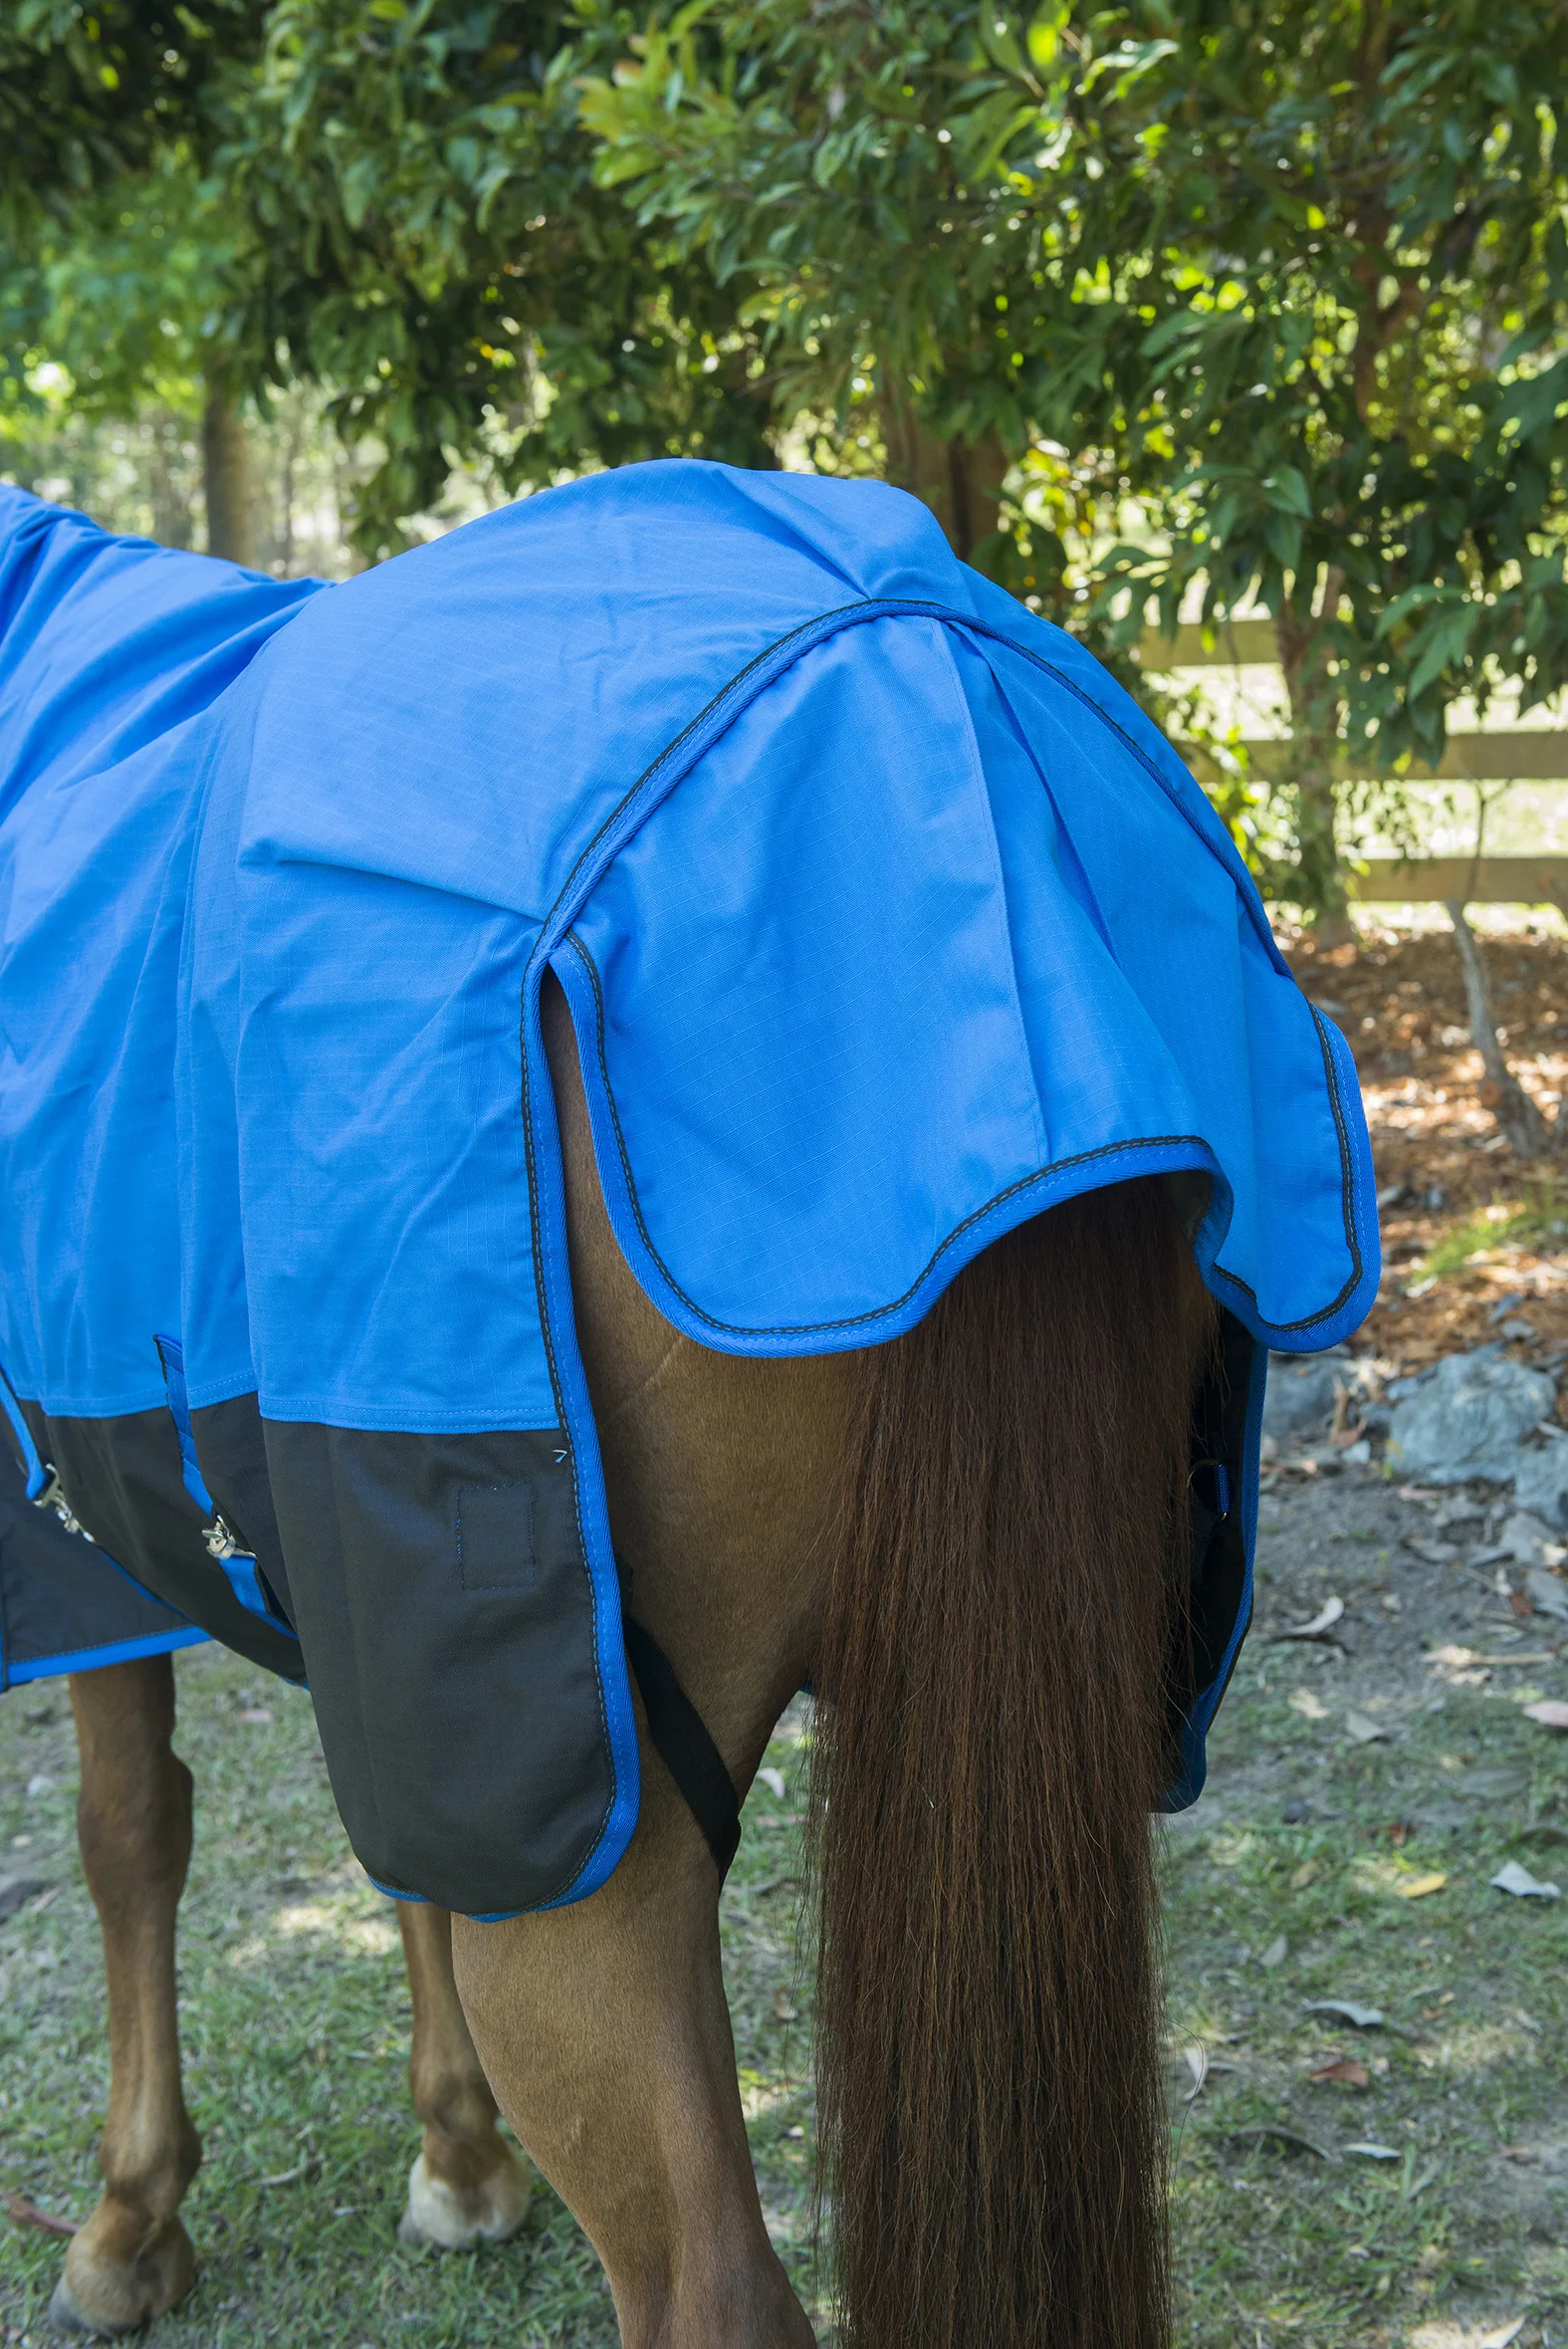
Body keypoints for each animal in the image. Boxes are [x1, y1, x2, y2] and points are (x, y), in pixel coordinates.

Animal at [0, 461, 1378, 2347]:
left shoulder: (101, 1552)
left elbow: (131, 1829)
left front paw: (131, 2218)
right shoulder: (396, 1656)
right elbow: (363, 1847)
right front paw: (459, 2156)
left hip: (611, 1859)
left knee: (713, 2281)